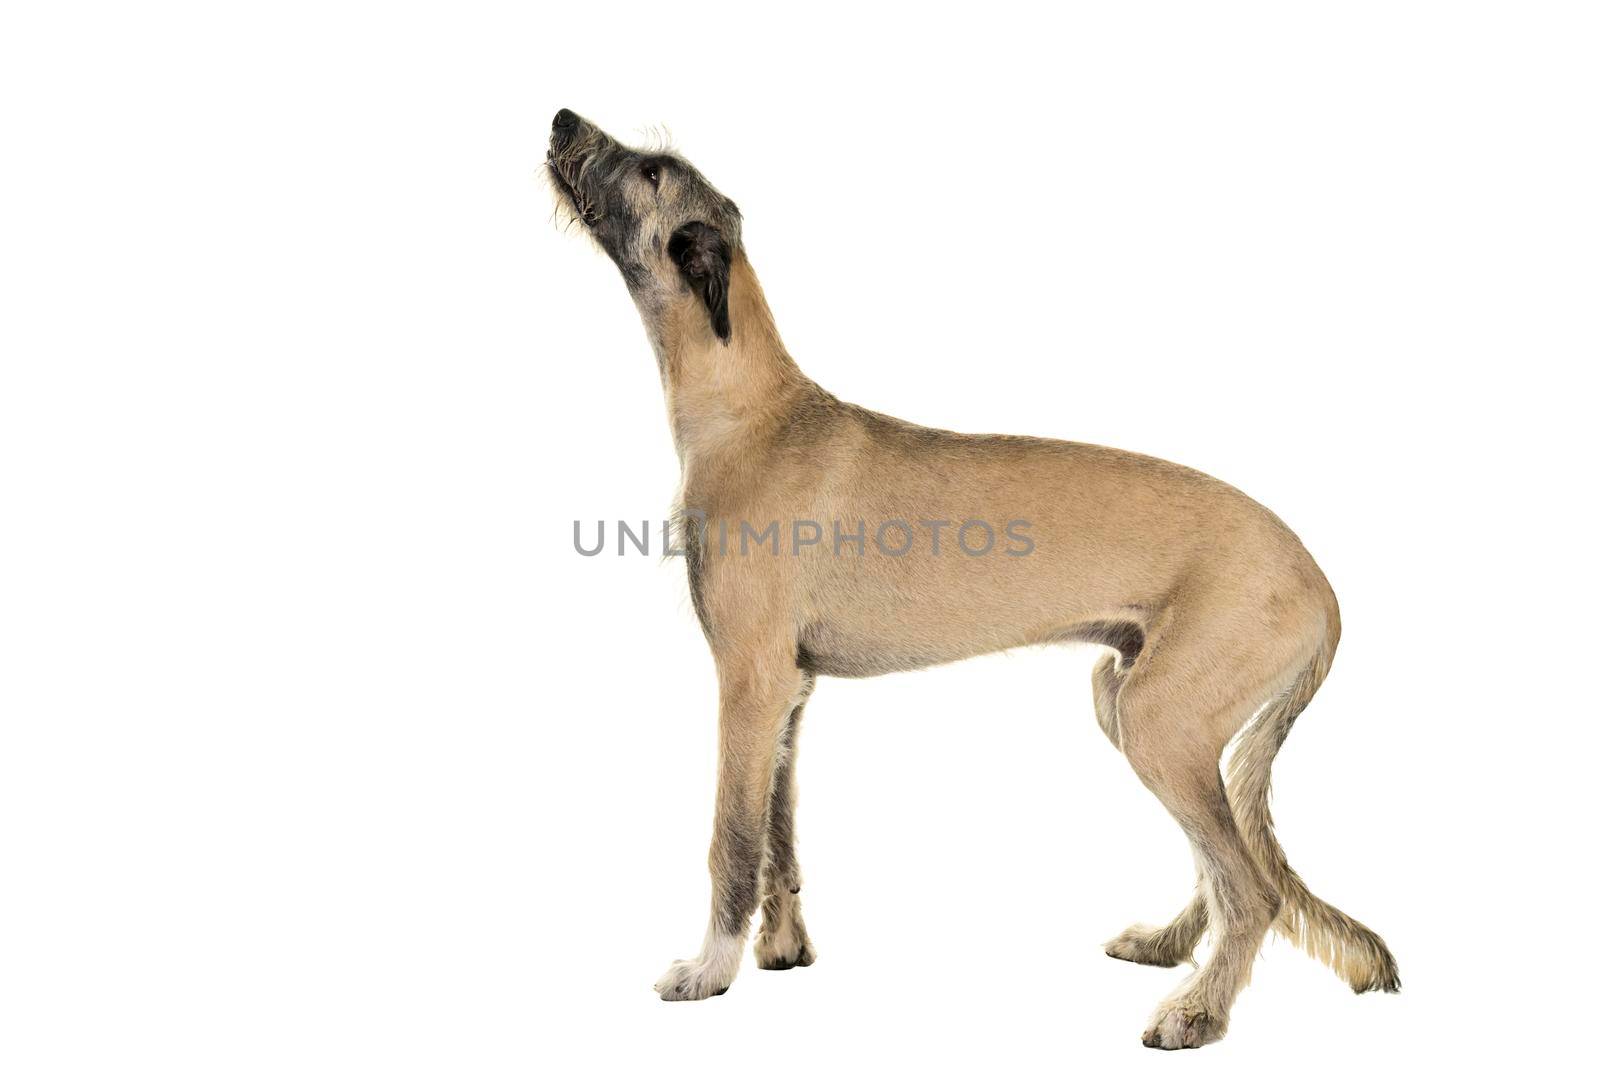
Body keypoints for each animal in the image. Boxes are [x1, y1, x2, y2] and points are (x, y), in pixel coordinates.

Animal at [544, 110, 1395, 1049]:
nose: (561, 119)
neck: (752, 411)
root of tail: (1323, 584)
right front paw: (785, 948)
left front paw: (710, 969)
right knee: (1223, 866)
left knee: (1253, 887)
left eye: (652, 171)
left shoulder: (747, 679)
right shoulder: (790, 692)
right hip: (1130, 697)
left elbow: (731, 841)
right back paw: (1168, 945)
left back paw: (1196, 1009)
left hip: (1160, 718)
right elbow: (780, 837)